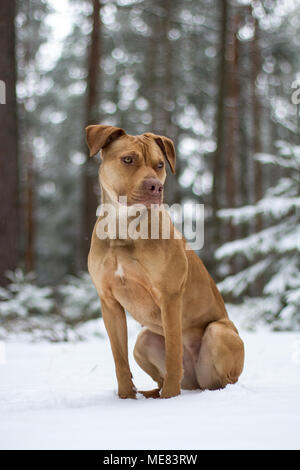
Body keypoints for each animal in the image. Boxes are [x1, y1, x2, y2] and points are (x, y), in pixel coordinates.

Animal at [86, 124, 244, 396]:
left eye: (159, 164)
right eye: (128, 160)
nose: (155, 187)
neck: (124, 227)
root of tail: (197, 383)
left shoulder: (169, 297)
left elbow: (173, 353)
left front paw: (171, 397)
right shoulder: (109, 302)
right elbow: (119, 358)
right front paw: (126, 397)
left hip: (219, 332)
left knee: (222, 378)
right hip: (144, 340)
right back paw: (152, 394)